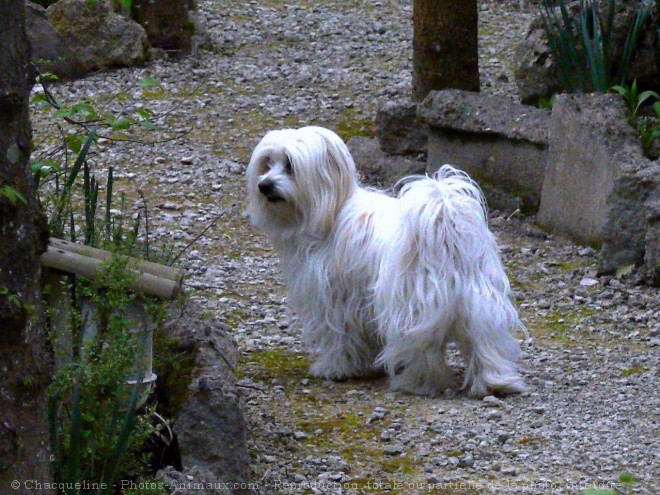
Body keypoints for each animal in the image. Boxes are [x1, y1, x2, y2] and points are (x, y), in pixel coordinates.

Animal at [245, 126, 528, 398]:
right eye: (266, 164)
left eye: (290, 165)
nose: (264, 185)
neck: (331, 211)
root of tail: (442, 221)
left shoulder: (333, 300)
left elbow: (339, 337)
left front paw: (335, 368)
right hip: (480, 300)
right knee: (486, 340)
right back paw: (495, 383)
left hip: (412, 307)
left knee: (422, 348)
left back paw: (417, 382)